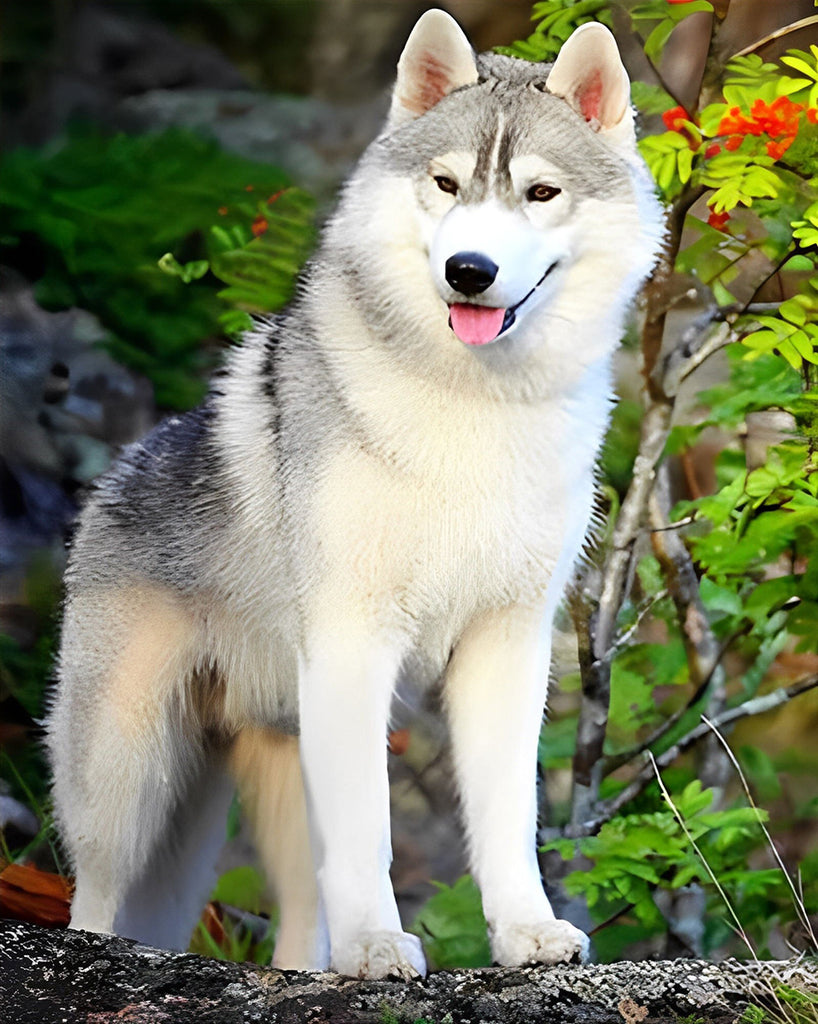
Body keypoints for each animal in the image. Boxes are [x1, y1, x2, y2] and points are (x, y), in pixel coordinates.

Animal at [48, 12, 663, 978]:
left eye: (541, 192)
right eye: (446, 184)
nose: (470, 270)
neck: (473, 412)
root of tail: (116, 472)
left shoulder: (510, 648)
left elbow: (508, 821)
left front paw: (526, 935)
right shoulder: (354, 642)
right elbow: (372, 831)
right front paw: (379, 945)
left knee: (299, 927)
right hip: (127, 785)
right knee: (98, 904)